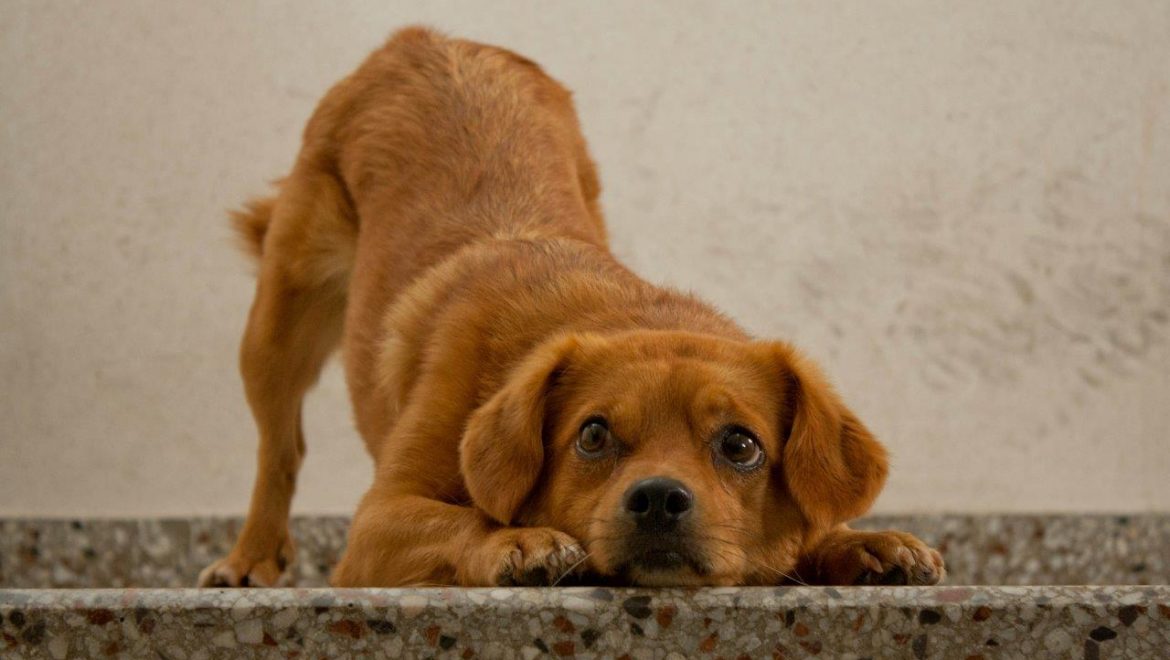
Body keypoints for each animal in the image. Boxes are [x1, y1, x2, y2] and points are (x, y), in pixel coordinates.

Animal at [198, 27, 940, 587]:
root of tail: (422, 36)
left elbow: (817, 527)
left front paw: (859, 542)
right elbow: (463, 518)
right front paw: (518, 541)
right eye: (593, 435)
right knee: (280, 448)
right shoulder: (376, 525)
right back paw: (251, 557)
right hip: (277, 325)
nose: (659, 498)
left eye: (740, 445)